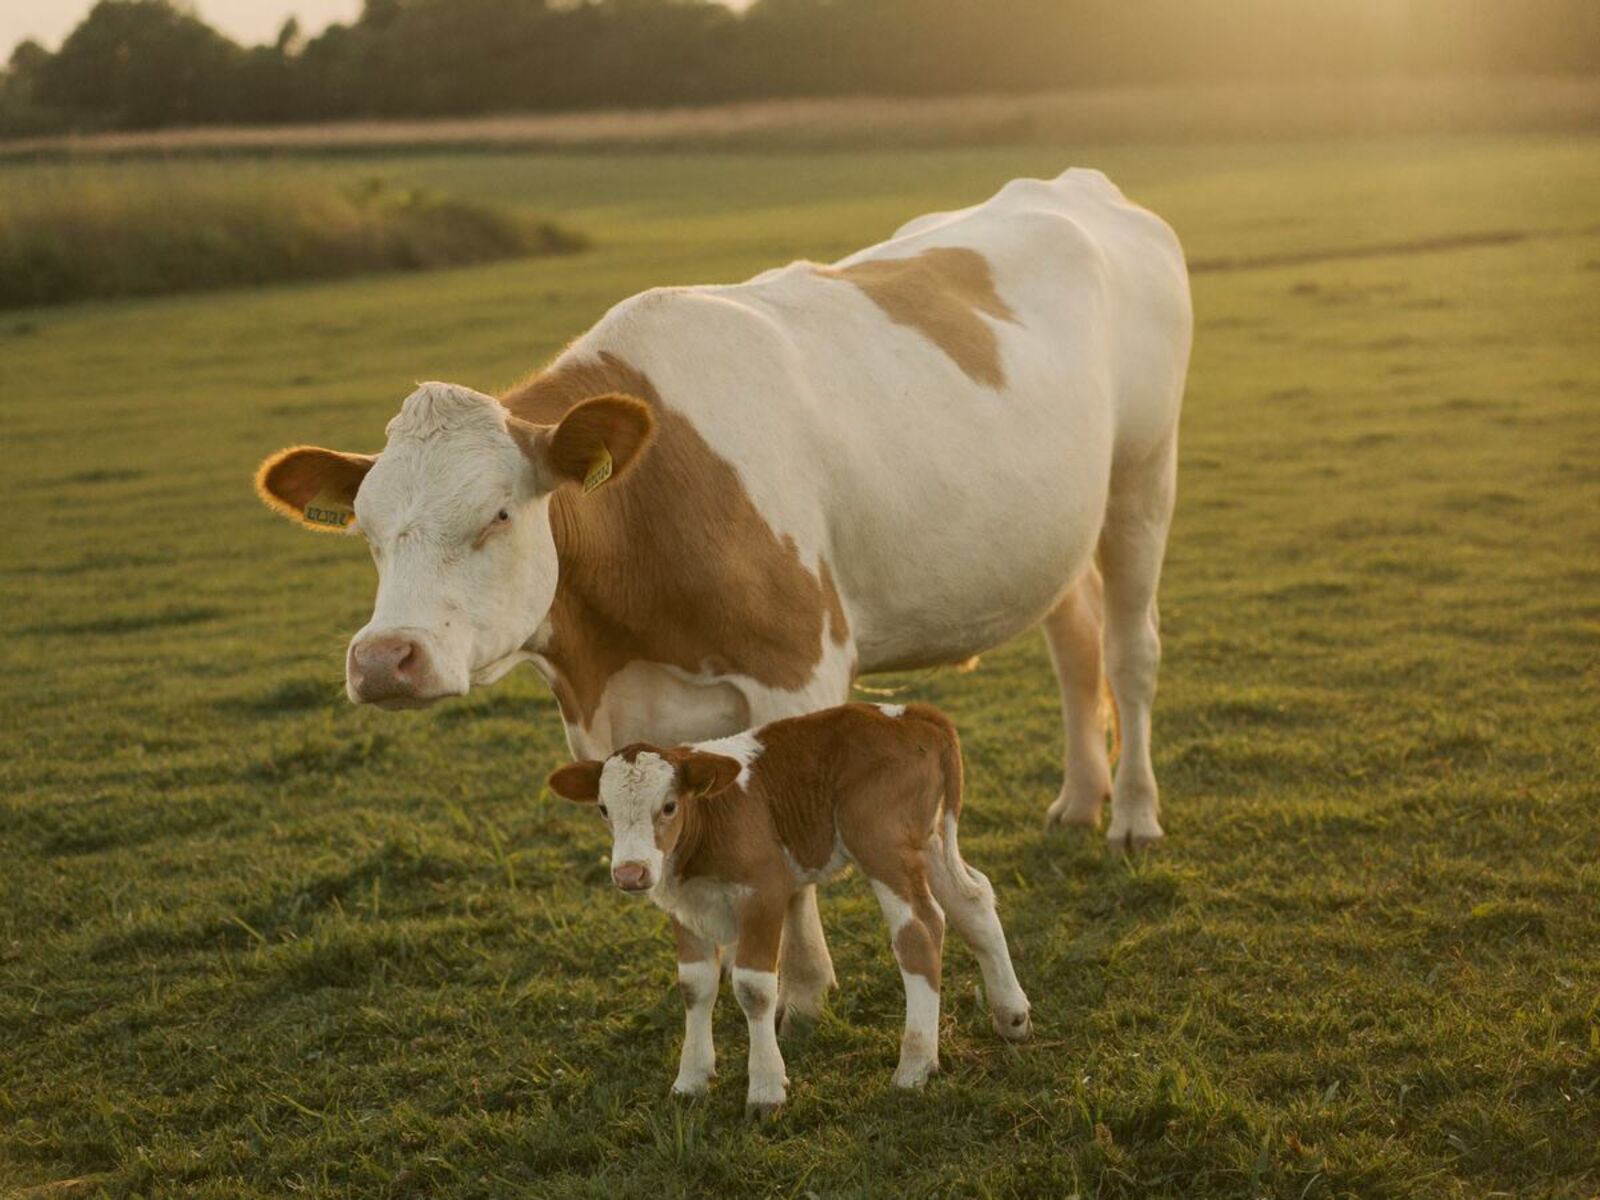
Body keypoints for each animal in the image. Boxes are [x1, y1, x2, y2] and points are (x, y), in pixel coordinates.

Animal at [254, 166, 1192, 1027]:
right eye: (367, 530)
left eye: (497, 515)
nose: (384, 660)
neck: (612, 640)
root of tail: (1070, 182)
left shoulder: (800, 667)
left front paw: (802, 991)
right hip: (1055, 530)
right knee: (1076, 648)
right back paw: (1079, 800)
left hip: (1143, 475)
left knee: (1130, 652)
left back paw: (1133, 816)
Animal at [546, 702, 1032, 1116]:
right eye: (603, 809)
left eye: (668, 806)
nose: (630, 873)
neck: (708, 829)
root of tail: (912, 713)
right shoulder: (683, 908)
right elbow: (695, 986)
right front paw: (691, 1080)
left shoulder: (765, 892)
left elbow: (754, 988)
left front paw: (765, 1088)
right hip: (927, 840)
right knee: (973, 902)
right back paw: (1012, 1017)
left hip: (881, 842)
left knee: (921, 928)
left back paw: (914, 1065)